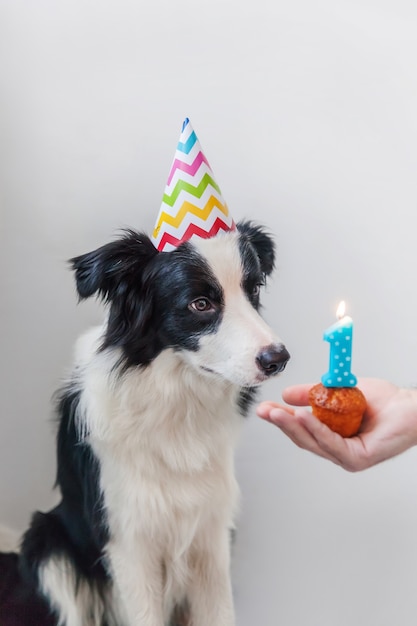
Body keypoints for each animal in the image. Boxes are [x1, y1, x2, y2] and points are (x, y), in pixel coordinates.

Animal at [0, 221, 290, 624]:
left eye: (254, 290)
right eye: (201, 303)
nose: (279, 359)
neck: (177, 404)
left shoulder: (211, 531)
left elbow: (219, 611)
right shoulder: (128, 540)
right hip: (46, 542)